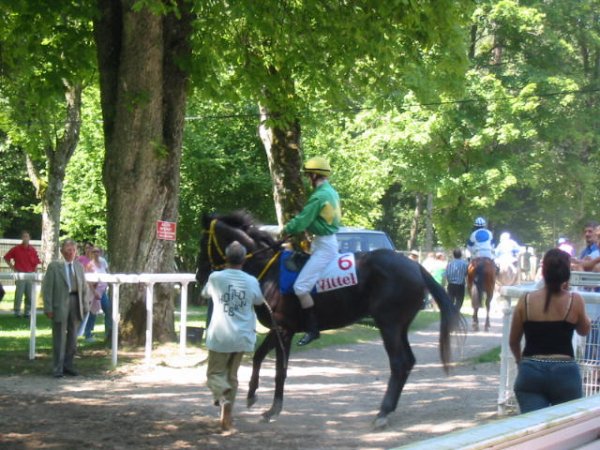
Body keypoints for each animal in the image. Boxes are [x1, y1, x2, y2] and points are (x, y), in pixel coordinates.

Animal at [197, 213, 464, 428]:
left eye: (203, 241)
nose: (200, 274)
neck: (269, 271)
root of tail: (415, 266)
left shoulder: (284, 330)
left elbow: (280, 370)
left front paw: (273, 409)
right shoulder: (279, 328)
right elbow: (259, 356)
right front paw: (252, 395)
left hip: (389, 325)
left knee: (398, 364)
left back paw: (382, 412)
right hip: (400, 327)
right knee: (408, 361)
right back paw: (389, 409)